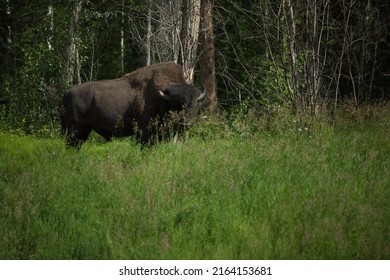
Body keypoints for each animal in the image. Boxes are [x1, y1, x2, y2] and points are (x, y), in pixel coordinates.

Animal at [60, 62, 206, 148]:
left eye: (196, 103)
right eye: (176, 102)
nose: (187, 123)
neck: (161, 97)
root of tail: (67, 92)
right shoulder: (144, 132)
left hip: (84, 130)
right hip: (75, 130)